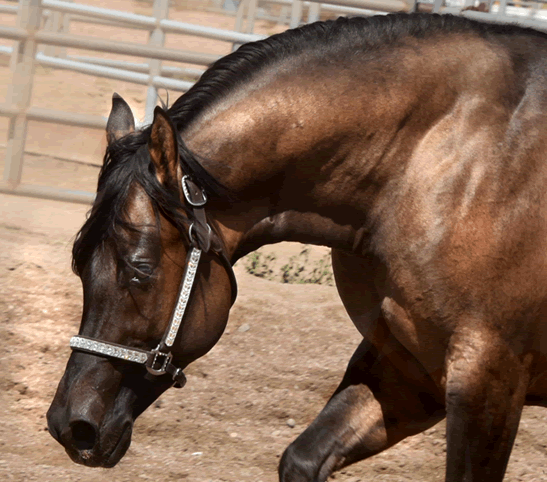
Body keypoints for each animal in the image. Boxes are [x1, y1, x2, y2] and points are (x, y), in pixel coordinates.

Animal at [47, 13, 547, 480]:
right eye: (80, 267)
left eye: (140, 268)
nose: (71, 426)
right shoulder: (410, 368)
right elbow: (304, 459)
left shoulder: (487, 377)